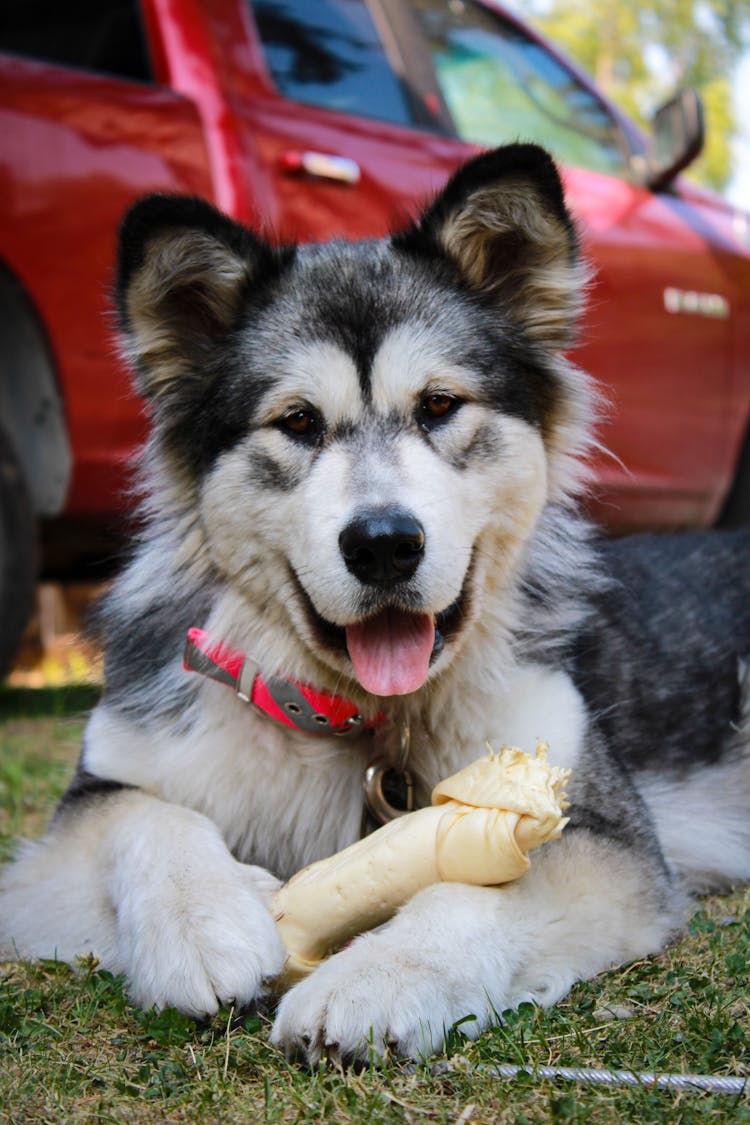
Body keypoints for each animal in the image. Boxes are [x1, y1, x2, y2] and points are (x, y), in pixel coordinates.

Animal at [1, 145, 750, 1066]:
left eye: (439, 405)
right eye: (297, 422)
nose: (385, 543)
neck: (355, 711)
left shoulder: (607, 839)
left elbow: (480, 888)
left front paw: (379, 976)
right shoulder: (75, 818)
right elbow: (143, 816)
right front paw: (201, 922)